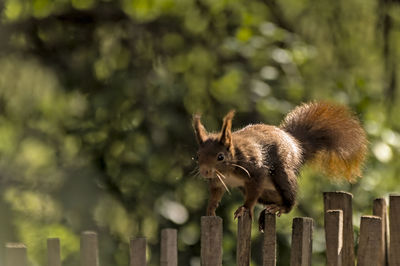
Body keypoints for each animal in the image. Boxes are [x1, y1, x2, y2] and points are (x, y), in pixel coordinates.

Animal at [192, 101, 368, 230]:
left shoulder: (255, 170)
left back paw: (282, 207)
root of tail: (296, 146)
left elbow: (252, 194)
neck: (229, 170)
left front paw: (245, 208)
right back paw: (268, 210)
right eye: (198, 155)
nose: (205, 171)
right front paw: (210, 210)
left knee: (290, 198)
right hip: (266, 192)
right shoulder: (217, 182)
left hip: (282, 175)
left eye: (220, 157)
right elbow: (215, 194)